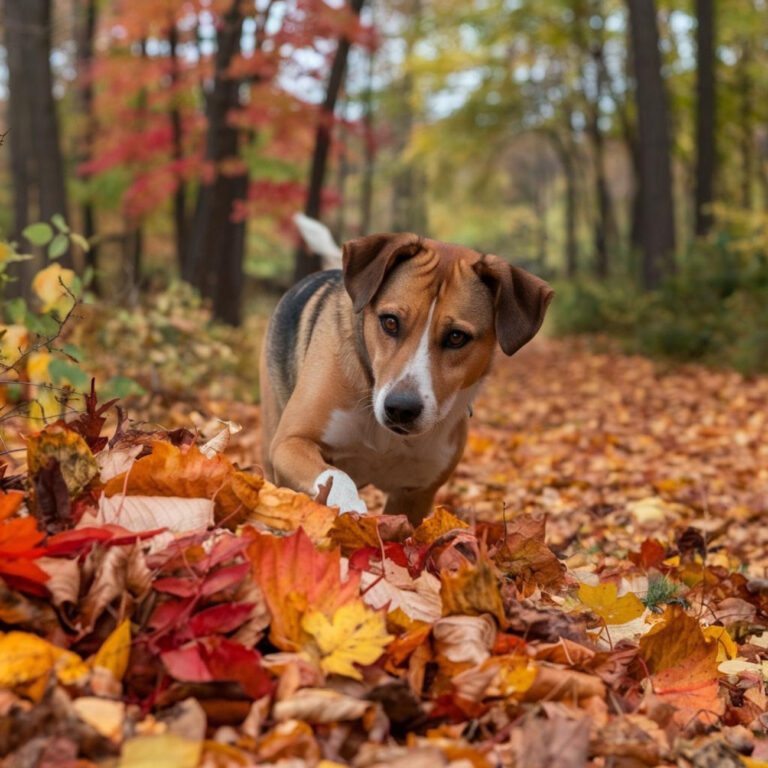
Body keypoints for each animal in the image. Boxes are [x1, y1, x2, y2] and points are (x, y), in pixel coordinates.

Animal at [260, 231, 552, 524]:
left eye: (456, 337)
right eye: (390, 322)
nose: (401, 408)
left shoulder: (415, 492)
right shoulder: (290, 442)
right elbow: (335, 476)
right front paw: (351, 508)